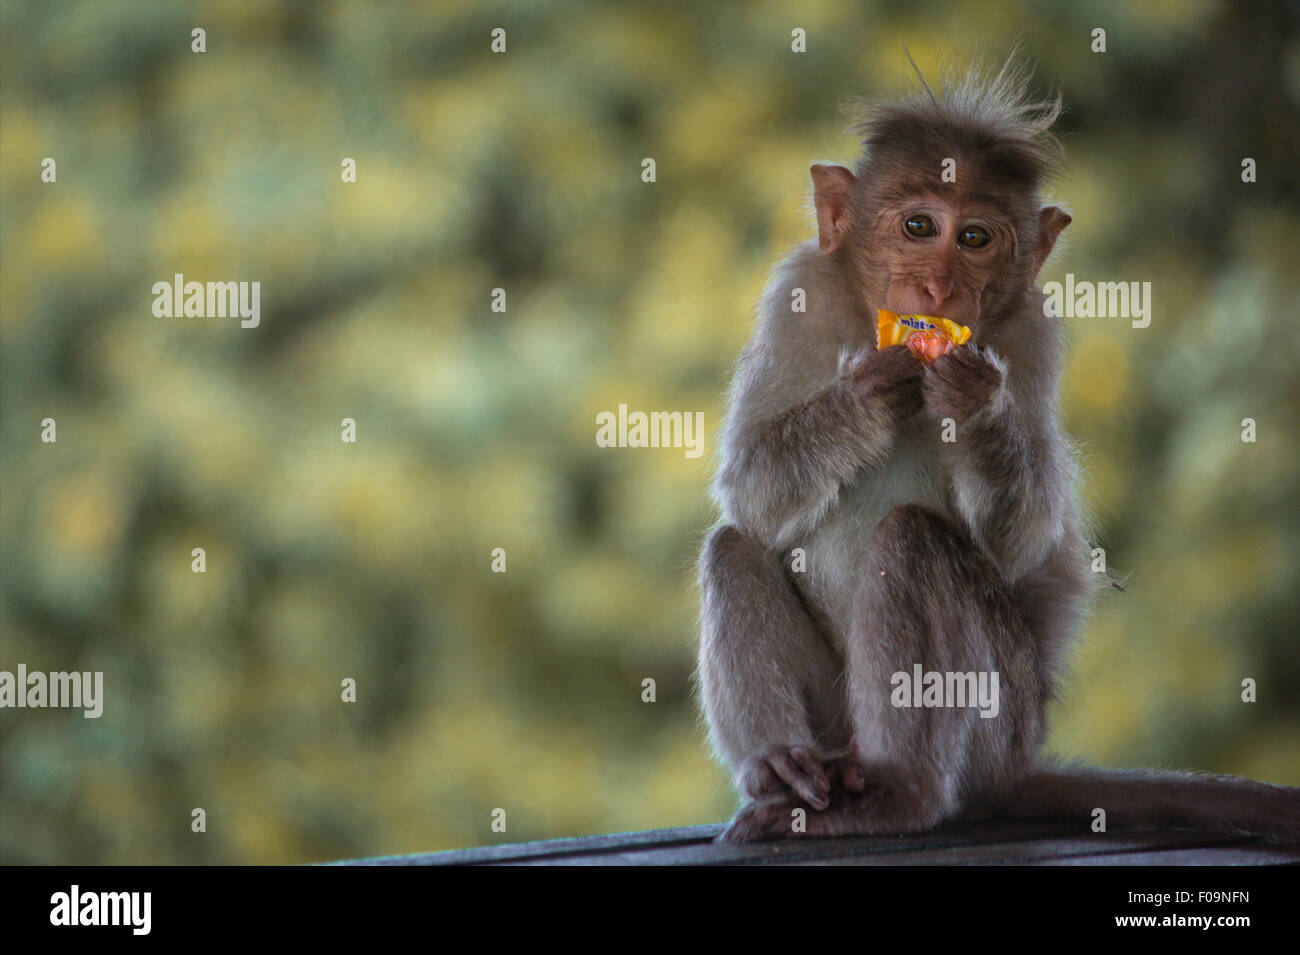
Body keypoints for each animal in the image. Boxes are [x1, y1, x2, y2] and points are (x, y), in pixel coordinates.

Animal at [696, 59, 1300, 841]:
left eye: (976, 238)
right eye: (919, 226)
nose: (939, 286)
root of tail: (1016, 762)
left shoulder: (1033, 335)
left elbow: (1026, 539)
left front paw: (975, 404)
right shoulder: (798, 291)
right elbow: (750, 489)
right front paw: (862, 401)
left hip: (996, 715)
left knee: (913, 542)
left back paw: (903, 793)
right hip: (842, 725)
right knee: (734, 547)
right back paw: (782, 768)